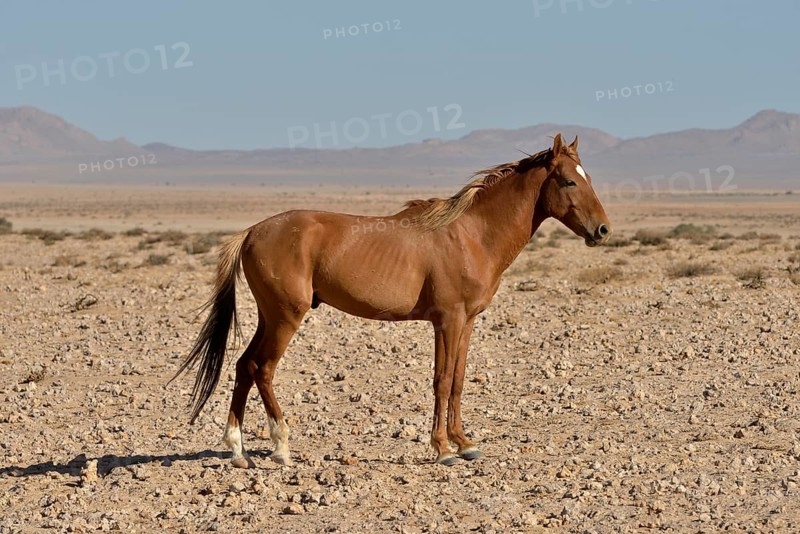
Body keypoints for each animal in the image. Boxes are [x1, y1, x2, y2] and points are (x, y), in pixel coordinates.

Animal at [171, 133, 612, 467]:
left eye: (588, 177)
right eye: (569, 182)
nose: (603, 230)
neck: (471, 234)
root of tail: (251, 232)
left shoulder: (467, 321)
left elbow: (458, 380)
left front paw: (465, 443)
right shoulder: (447, 320)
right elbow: (441, 380)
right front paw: (443, 449)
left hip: (269, 316)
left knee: (244, 366)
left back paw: (238, 451)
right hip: (285, 318)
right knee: (262, 369)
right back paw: (281, 446)